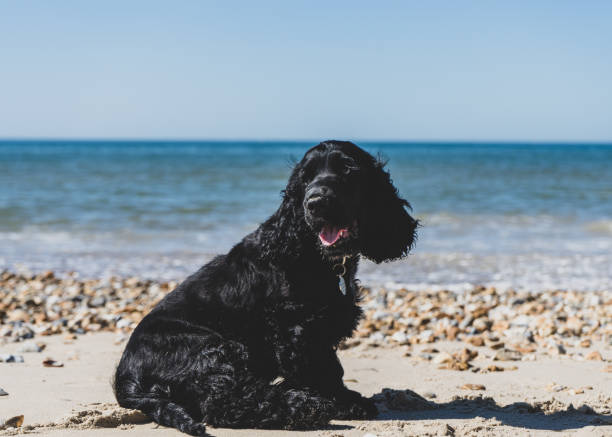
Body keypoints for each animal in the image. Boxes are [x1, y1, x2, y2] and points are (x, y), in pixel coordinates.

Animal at [114, 139, 418, 432]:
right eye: (305, 178)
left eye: (347, 170)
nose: (316, 203)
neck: (314, 255)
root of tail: (125, 375)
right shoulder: (295, 330)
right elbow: (323, 370)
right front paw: (344, 402)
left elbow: (330, 367)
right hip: (214, 349)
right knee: (224, 402)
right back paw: (302, 408)